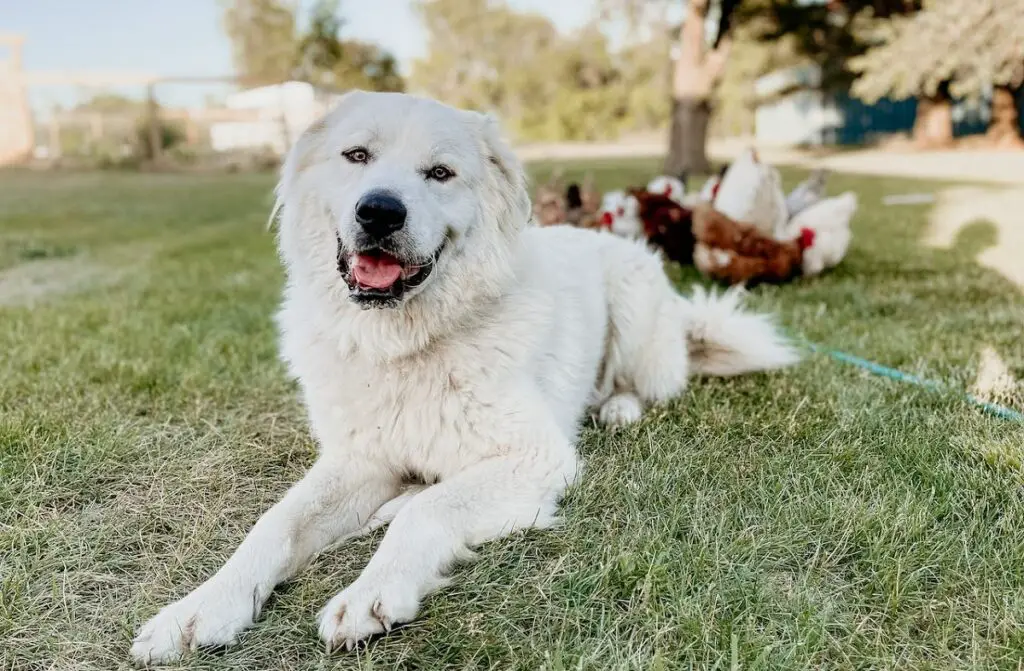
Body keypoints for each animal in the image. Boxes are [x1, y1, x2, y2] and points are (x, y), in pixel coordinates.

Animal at [130, 91, 798, 663]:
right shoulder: (357, 460)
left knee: (638, 387)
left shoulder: (537, 455)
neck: (407, 346)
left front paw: (372, 591)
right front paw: (201, 607)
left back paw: (616, 409)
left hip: (634, 308)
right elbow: (273, 525)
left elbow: (430, 510)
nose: (379, 211)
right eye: (356, 156)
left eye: (440, 173)